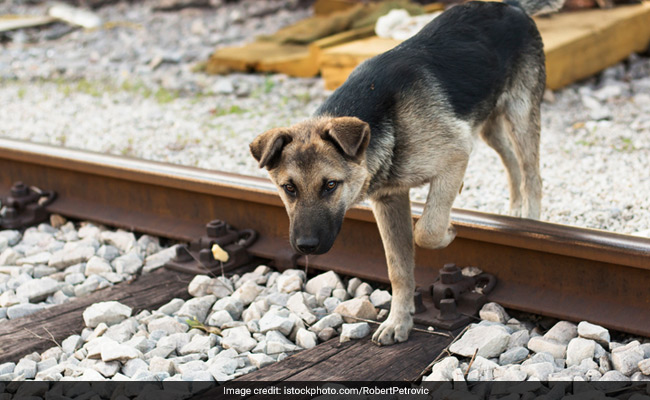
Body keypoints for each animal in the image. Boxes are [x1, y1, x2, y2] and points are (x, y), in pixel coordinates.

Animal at [251, 0, 560, 346]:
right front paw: (399, 321)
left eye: (330, 185)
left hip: (519, 114)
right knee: (512, 164)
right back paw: (516, 211)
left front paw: (449, 231)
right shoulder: (389, 200)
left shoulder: (455, 155)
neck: (383, 120)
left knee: (532, 173)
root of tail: (508, 5)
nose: (305, 247)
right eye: (288, 188)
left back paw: (530, 221)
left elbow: (426, 229)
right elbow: (397, 268)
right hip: (488, 124)